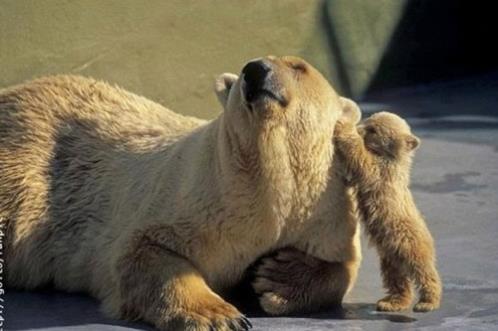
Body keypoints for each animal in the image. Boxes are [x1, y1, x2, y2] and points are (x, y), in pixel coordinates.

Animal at [2, 55, 362, 330]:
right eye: (248, 64)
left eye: (299, 66)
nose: (255, 69)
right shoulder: (196, 196)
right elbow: (144, 250)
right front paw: (219, 315)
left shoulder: (322, 210)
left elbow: (342, 267)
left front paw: (277, 277)